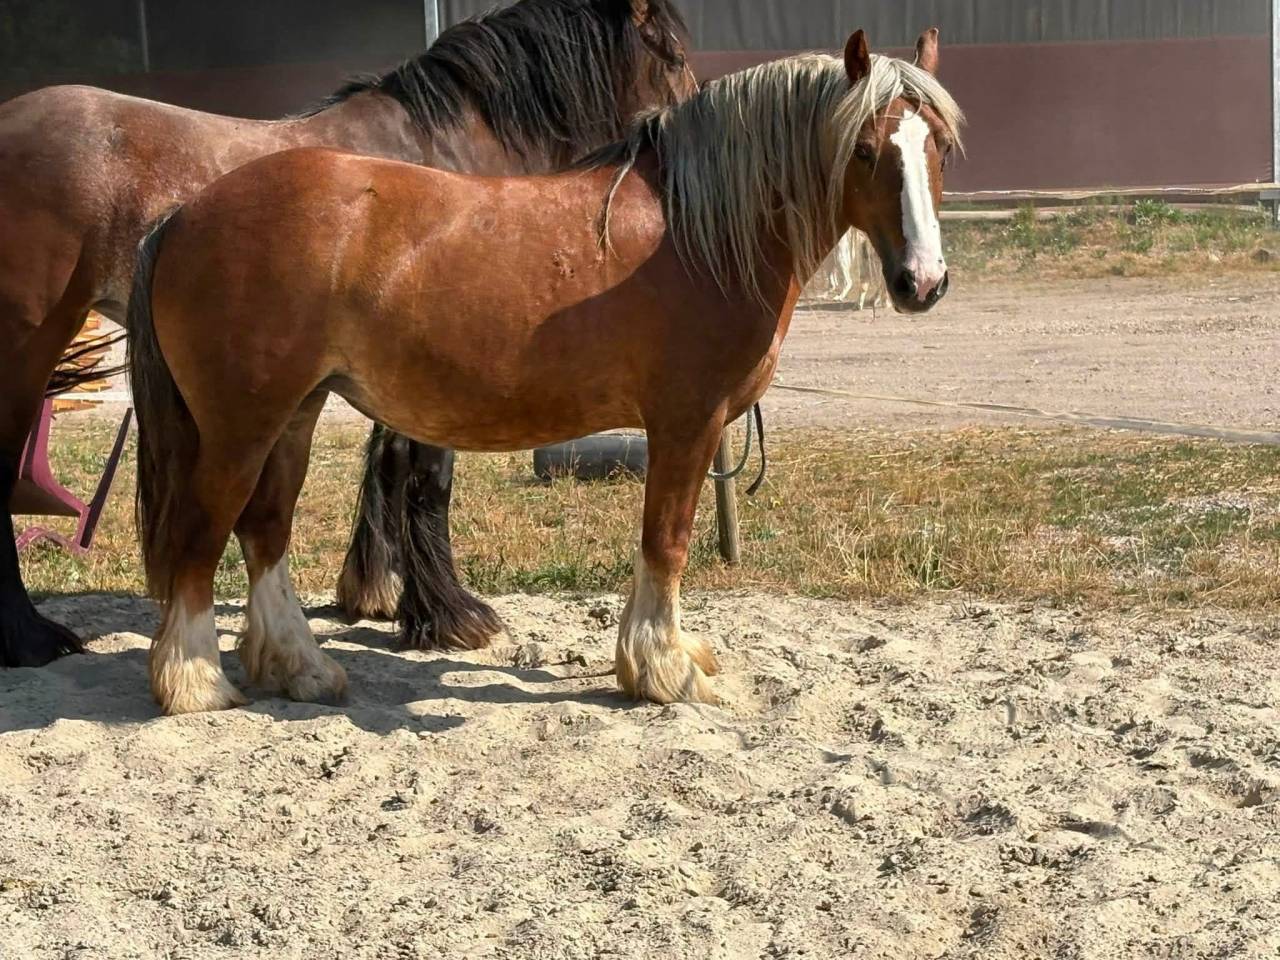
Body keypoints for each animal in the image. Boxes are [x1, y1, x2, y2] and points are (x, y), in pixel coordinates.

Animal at [0, 0, 696, 669]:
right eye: (674, 53)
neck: (445, 147)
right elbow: (425, 477)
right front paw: (446, 615)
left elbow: (384, 467)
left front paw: (376, 594)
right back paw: (29, 639)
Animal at [125, 29, 962, 715]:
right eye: (864, 150)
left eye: (938, 150)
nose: (922, 282)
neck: (698, 232)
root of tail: (185, 214)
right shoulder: (687, 423)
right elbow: (668, 540)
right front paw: (662, 671)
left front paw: (667, 657)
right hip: (239, 428)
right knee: (202, 533)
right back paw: (196, 682)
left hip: (292, 416)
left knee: (264, 530)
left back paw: (299, 668)